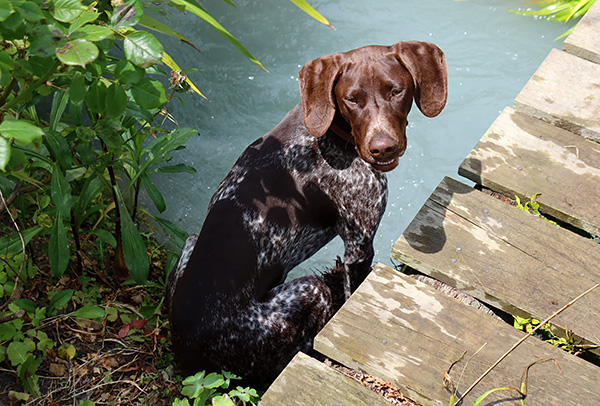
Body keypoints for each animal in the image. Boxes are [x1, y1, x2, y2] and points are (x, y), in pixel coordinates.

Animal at [166, 41, 448, 380]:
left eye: (396, 91)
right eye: (351, 99)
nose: (382, 148)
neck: (329, 133)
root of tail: (188, 360)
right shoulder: (359, 245)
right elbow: (352, 294)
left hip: (191, 241)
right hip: (310, 291)